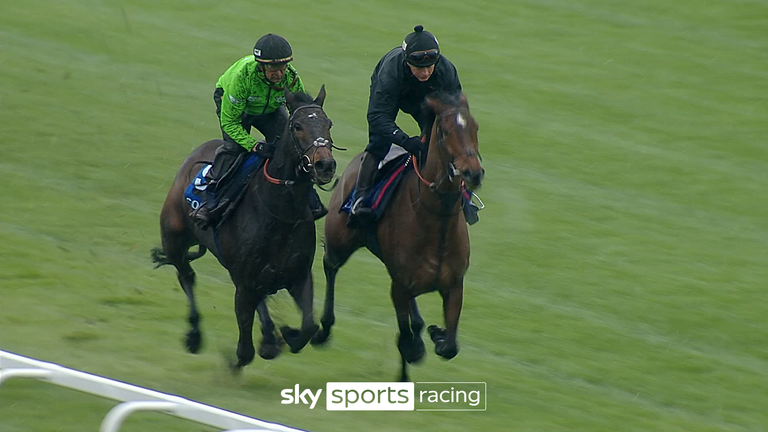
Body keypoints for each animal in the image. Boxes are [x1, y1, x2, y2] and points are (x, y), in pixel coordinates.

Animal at [153, 86, 336, 370]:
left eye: (328, 124)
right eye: (297, 126)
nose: (324, 165)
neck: (280, 213)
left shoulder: (299, 276)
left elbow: (308, 326)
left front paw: (287, 334)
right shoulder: (244, 283)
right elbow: (244, 351)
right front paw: (246, 354)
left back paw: (270, 335)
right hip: (174, 240)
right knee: (186, 277)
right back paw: (194, 335)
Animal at [310, 92, 480, 382]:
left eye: (475, 128)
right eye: (445, 132)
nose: (474, 172)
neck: (437, 222)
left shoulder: (454, 286)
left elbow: (449, 346)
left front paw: (437, 334)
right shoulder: (399, 287)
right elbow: (406, 338)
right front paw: (415, 350)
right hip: (340, 241)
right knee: (330, 266)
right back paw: (323, 329)